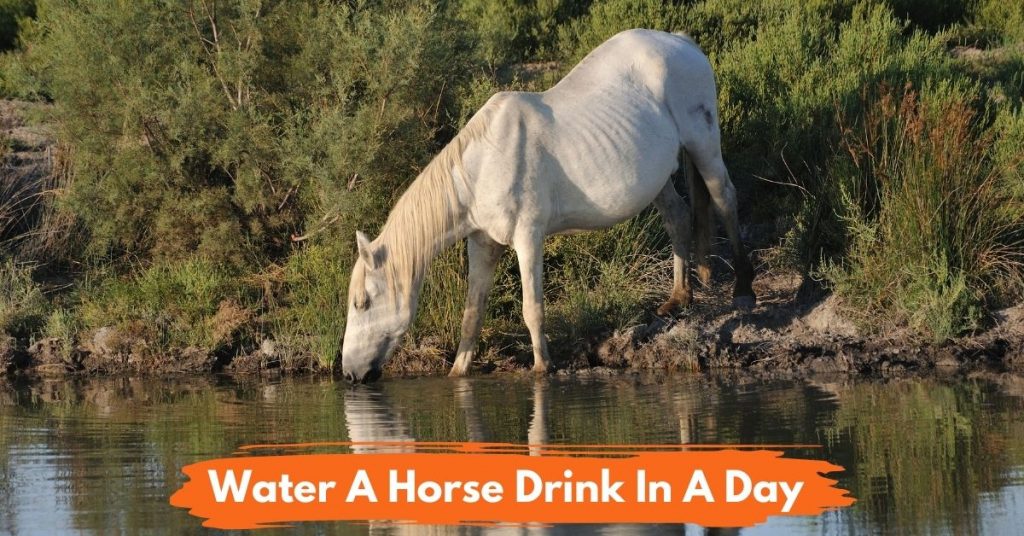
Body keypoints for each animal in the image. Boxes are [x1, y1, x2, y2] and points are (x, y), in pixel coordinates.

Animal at [342, 29, 755, 383]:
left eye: (363, 302)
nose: (349, 374)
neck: (483, 167)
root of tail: (682, 42)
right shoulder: (482, 243)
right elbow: (472, 314)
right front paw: (459, 372)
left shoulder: (528, 238)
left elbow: (532, 308)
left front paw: (543, 367)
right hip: (656, 178)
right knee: (679, 217)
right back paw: (678, 299)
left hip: (703, 143)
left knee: (725, 198)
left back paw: (743, 288)